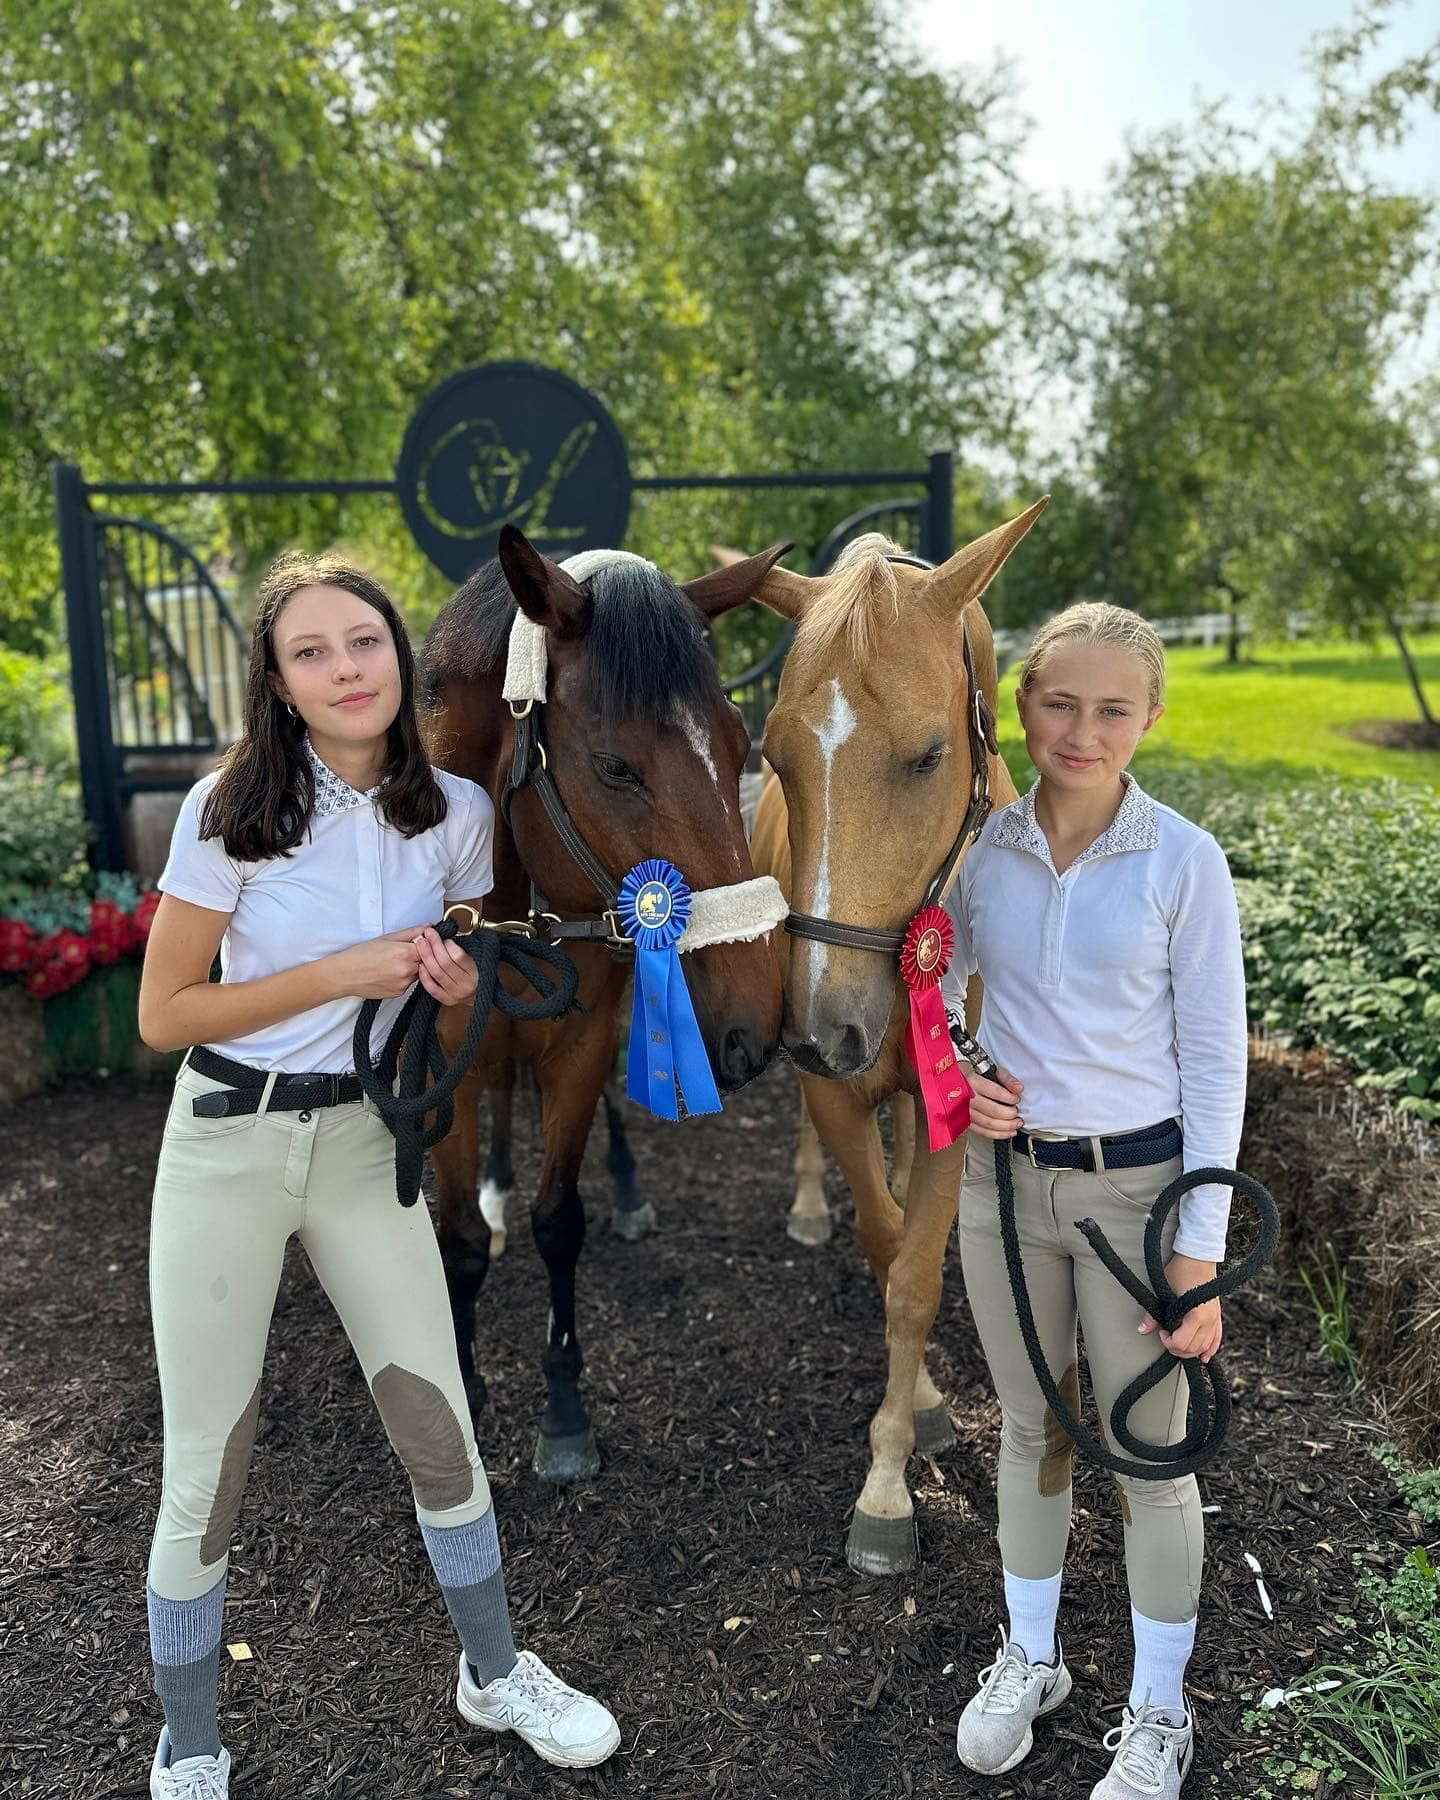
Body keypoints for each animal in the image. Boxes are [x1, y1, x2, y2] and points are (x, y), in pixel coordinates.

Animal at [419, 524, 789, 1480]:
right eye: (615, 765)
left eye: (739, 741)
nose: (756, 1022)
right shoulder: (444, 1075)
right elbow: (456, 1246)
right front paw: (464, 1389)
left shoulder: (579, 1054)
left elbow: (561, 1220)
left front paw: (562, 1410)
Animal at [747, 501, 1048, 1573]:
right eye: (779, 755)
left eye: (927, 756)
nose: (825, 1026)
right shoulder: (834, 1090)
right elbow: (884, 1247)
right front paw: (904, 1433)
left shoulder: (962, 1093)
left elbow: (917, 1277)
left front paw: (891, 1476)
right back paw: (806, 1202)